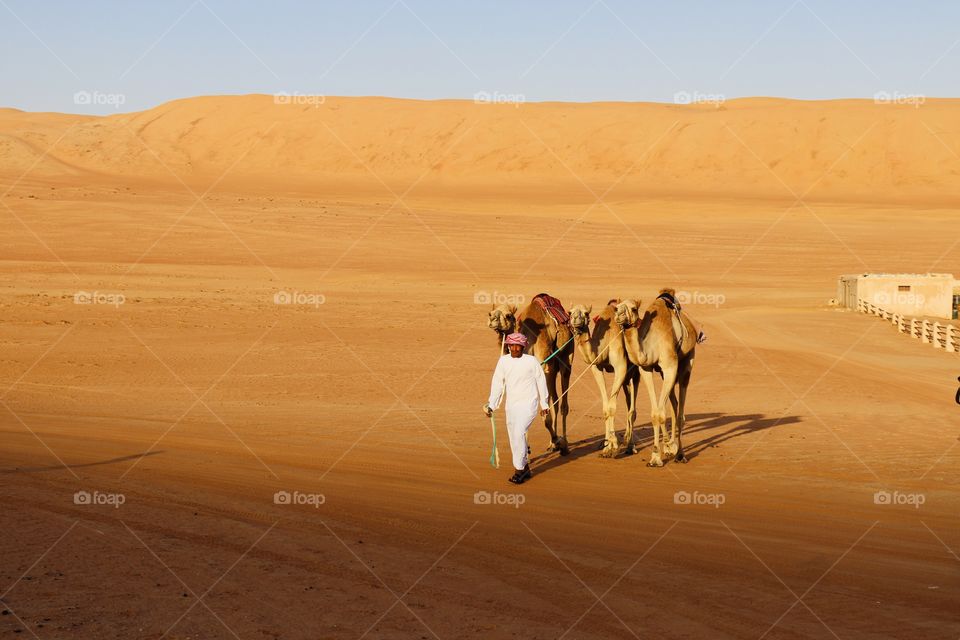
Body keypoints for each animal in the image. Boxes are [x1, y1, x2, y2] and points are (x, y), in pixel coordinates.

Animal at [484, 296, 572, 452]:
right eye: (490, 312)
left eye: (508, 315)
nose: (492, 318)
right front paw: (526, 446)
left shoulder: (543, 366)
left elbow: (544, 411)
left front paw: (556, 439)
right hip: (553, 368)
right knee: (555, 400)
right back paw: (552, 444)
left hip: (565, 360)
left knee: (563, 404)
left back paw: (564, 443)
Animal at [568, 302, 644, 458]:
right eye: (569, 312)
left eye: (586, 313)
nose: (575, 320)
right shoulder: (596, 367)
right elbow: (605, 408)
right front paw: (606, 446)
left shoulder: (620, 366)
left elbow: (611, 407)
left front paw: (613, 445)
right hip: (626, 379)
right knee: (628, 403)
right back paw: (626, 440)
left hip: (635, 371)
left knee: (632, 410)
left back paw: (630, 446)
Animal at [616, 290, 696, 464]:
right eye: (617, 307)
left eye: (633, 308)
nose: (619, 315)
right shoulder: (646, 369)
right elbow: (655, 414)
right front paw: (656, 454)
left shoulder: (670, 366)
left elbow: (661, 413)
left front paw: (656, 458)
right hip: (663, 373)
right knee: (674, 404)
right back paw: (670, 446)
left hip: (687, 362)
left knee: (680, 411)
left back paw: (680, 454)